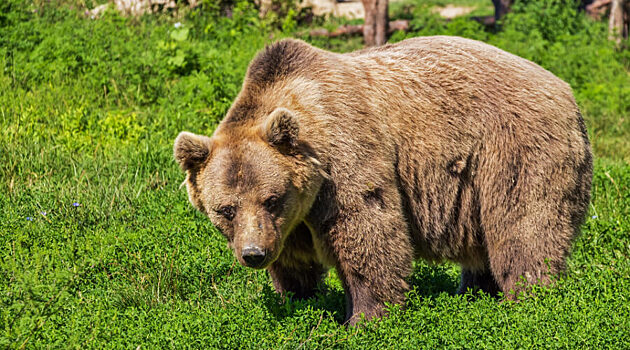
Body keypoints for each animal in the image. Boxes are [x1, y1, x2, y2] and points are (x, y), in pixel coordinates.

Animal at [175, 36, 596, 326]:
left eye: (271, 198)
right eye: (226, 209)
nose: (253, 254)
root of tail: (567, 91)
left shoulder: (344, 156)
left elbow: (368, 230)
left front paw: (364, 317)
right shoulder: (292, 218)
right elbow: (294, 259)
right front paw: (297, 298)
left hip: (514, 149)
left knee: (524, 227)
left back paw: (528, 298)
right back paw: (474, 291)